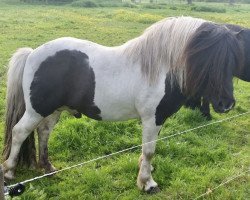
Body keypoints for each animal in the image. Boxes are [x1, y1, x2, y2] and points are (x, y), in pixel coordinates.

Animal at [2, 16, 243, 191]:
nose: (226, 104)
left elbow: (148, 151)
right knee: (19, 132)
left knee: (43, 132)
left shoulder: (157, 120)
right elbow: (149, 150)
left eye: (232, 61)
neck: (160, 70)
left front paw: (145, 173)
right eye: (208, 60)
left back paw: (47, 167)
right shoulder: (151, 119)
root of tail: (32, 53)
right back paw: (9, 171)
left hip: (53, 111)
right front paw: (147, 183)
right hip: (36, 110)